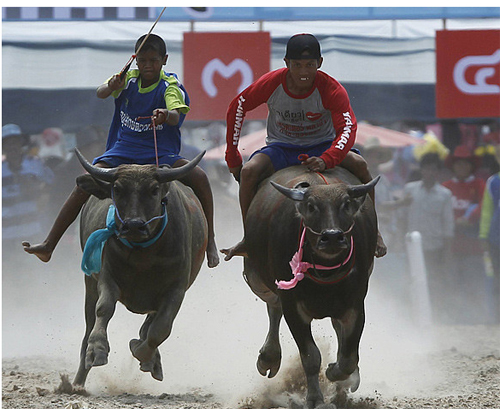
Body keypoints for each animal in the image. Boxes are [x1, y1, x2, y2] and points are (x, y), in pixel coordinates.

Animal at [70, 149, 207, 386]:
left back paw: (152, 360)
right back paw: (78, 381)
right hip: (89, 283)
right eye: (117, 189)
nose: (134, 225)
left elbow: (161, 329)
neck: (143, 256)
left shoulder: (177, 289)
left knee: (151, 324)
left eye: (154, 190)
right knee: (89, 324)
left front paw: (142, 352)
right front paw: (97, 350)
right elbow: (104, 308)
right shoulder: (106, 277)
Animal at [242, 164, 378, 406]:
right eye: (312, 206)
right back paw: (268, 358)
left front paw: (336, 372)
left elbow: (348, 357)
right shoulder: (293, 307)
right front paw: (315, 399)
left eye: (346, 204)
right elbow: (311, 357)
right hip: (258, 280)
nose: (332, 236)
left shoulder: (355, 304)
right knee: (273, 307)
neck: (327, 273)